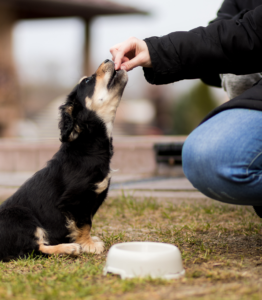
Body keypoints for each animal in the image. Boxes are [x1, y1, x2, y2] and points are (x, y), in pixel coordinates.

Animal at [0, 59, 128, 262]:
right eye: (87, 81)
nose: (108, 60)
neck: (88, 144)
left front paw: (89, 241)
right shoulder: (75, 201)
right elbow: (84, 224)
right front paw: (88, 245)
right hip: (20, 216)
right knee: (32, 250)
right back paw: (69, 248)